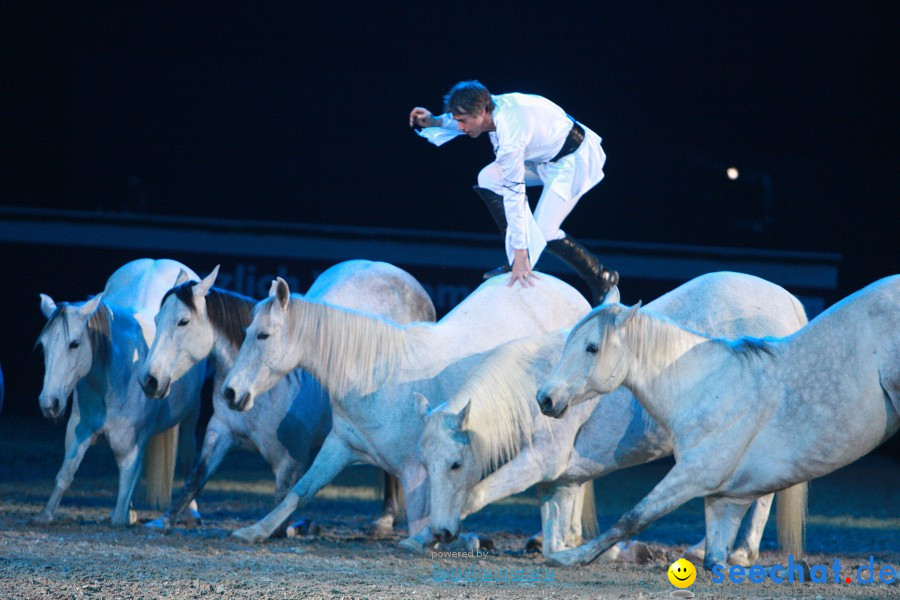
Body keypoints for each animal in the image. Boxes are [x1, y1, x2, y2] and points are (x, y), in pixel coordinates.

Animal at [35, 258, 204, 524]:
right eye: (43, 346)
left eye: (74, 344)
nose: (49, 403)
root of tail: (158, 261)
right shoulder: (77, 433)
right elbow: (65, 475)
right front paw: (45, 515)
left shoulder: (130, 450)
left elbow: (119, 512)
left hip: (191, 413)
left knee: (188, 452)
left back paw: (192, 511)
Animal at [137, 258, 436, 536]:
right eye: (157, 320)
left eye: (183, 321)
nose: (149, 381)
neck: (268, 389)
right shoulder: (220, 431)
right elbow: (196, 479)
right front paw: (163, 521)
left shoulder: (289, 462)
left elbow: (282, 515)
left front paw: (303, 527)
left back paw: (385, 521)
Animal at [221, 274, 592, 548]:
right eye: (246, 332)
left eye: (263, 335)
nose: (230, 392)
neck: (378, 377)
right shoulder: (340, 446)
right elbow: (300, 491)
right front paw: (255, 531)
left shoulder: (416, 470)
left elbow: (422, 521)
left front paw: (455, 540)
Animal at [420, 272, 808, 564]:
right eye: (425, 464)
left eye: (455, 464)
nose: (442, 530)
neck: (528, 384)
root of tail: (790, 302)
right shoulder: (560, 479)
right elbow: (555, 531)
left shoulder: (540, 461)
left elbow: (476, 495)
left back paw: (738, 552)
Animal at [536, 276, 896, 568]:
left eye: (592, 347)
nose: (545, 398)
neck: (706, 386)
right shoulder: (726, 501)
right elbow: (713, 559)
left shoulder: (695, 475)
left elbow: (632, 517)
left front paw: (568, 557)